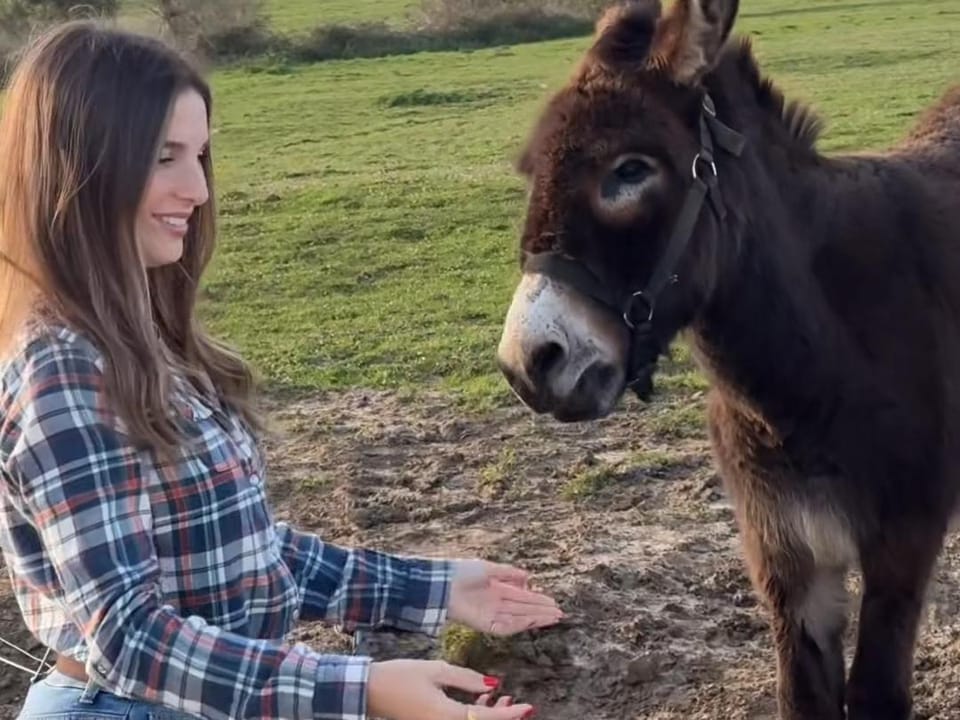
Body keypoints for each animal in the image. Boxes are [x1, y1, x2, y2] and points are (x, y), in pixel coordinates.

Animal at [494, 1, 960, 717]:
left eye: (630, 170)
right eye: (530, 172)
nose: (528, 363)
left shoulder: (901, 548)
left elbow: (876, 693)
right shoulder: (786, 557)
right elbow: (802, 696)